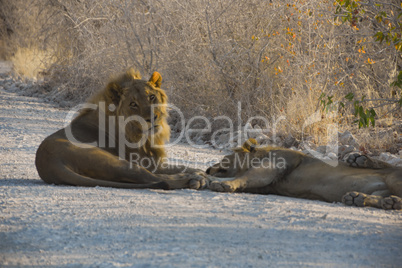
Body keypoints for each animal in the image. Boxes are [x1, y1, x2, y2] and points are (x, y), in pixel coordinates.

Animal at [35, 69, 207, 191]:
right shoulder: (147, 162)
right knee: (154, 179)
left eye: (151, 97)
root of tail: (48, 163)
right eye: (133, 104)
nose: (152, 118)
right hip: (115, 161)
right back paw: (194, 179)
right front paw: (199, 172)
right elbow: (174, 168)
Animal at [207, 138, 402, 209]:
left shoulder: (272, 166)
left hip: (394, 178)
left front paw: (224, 184)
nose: (208, 168)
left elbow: (244, 177)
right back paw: (360, 198)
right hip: (381, 190)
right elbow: (246, 181)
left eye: (225, 158)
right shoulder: (265, 185)